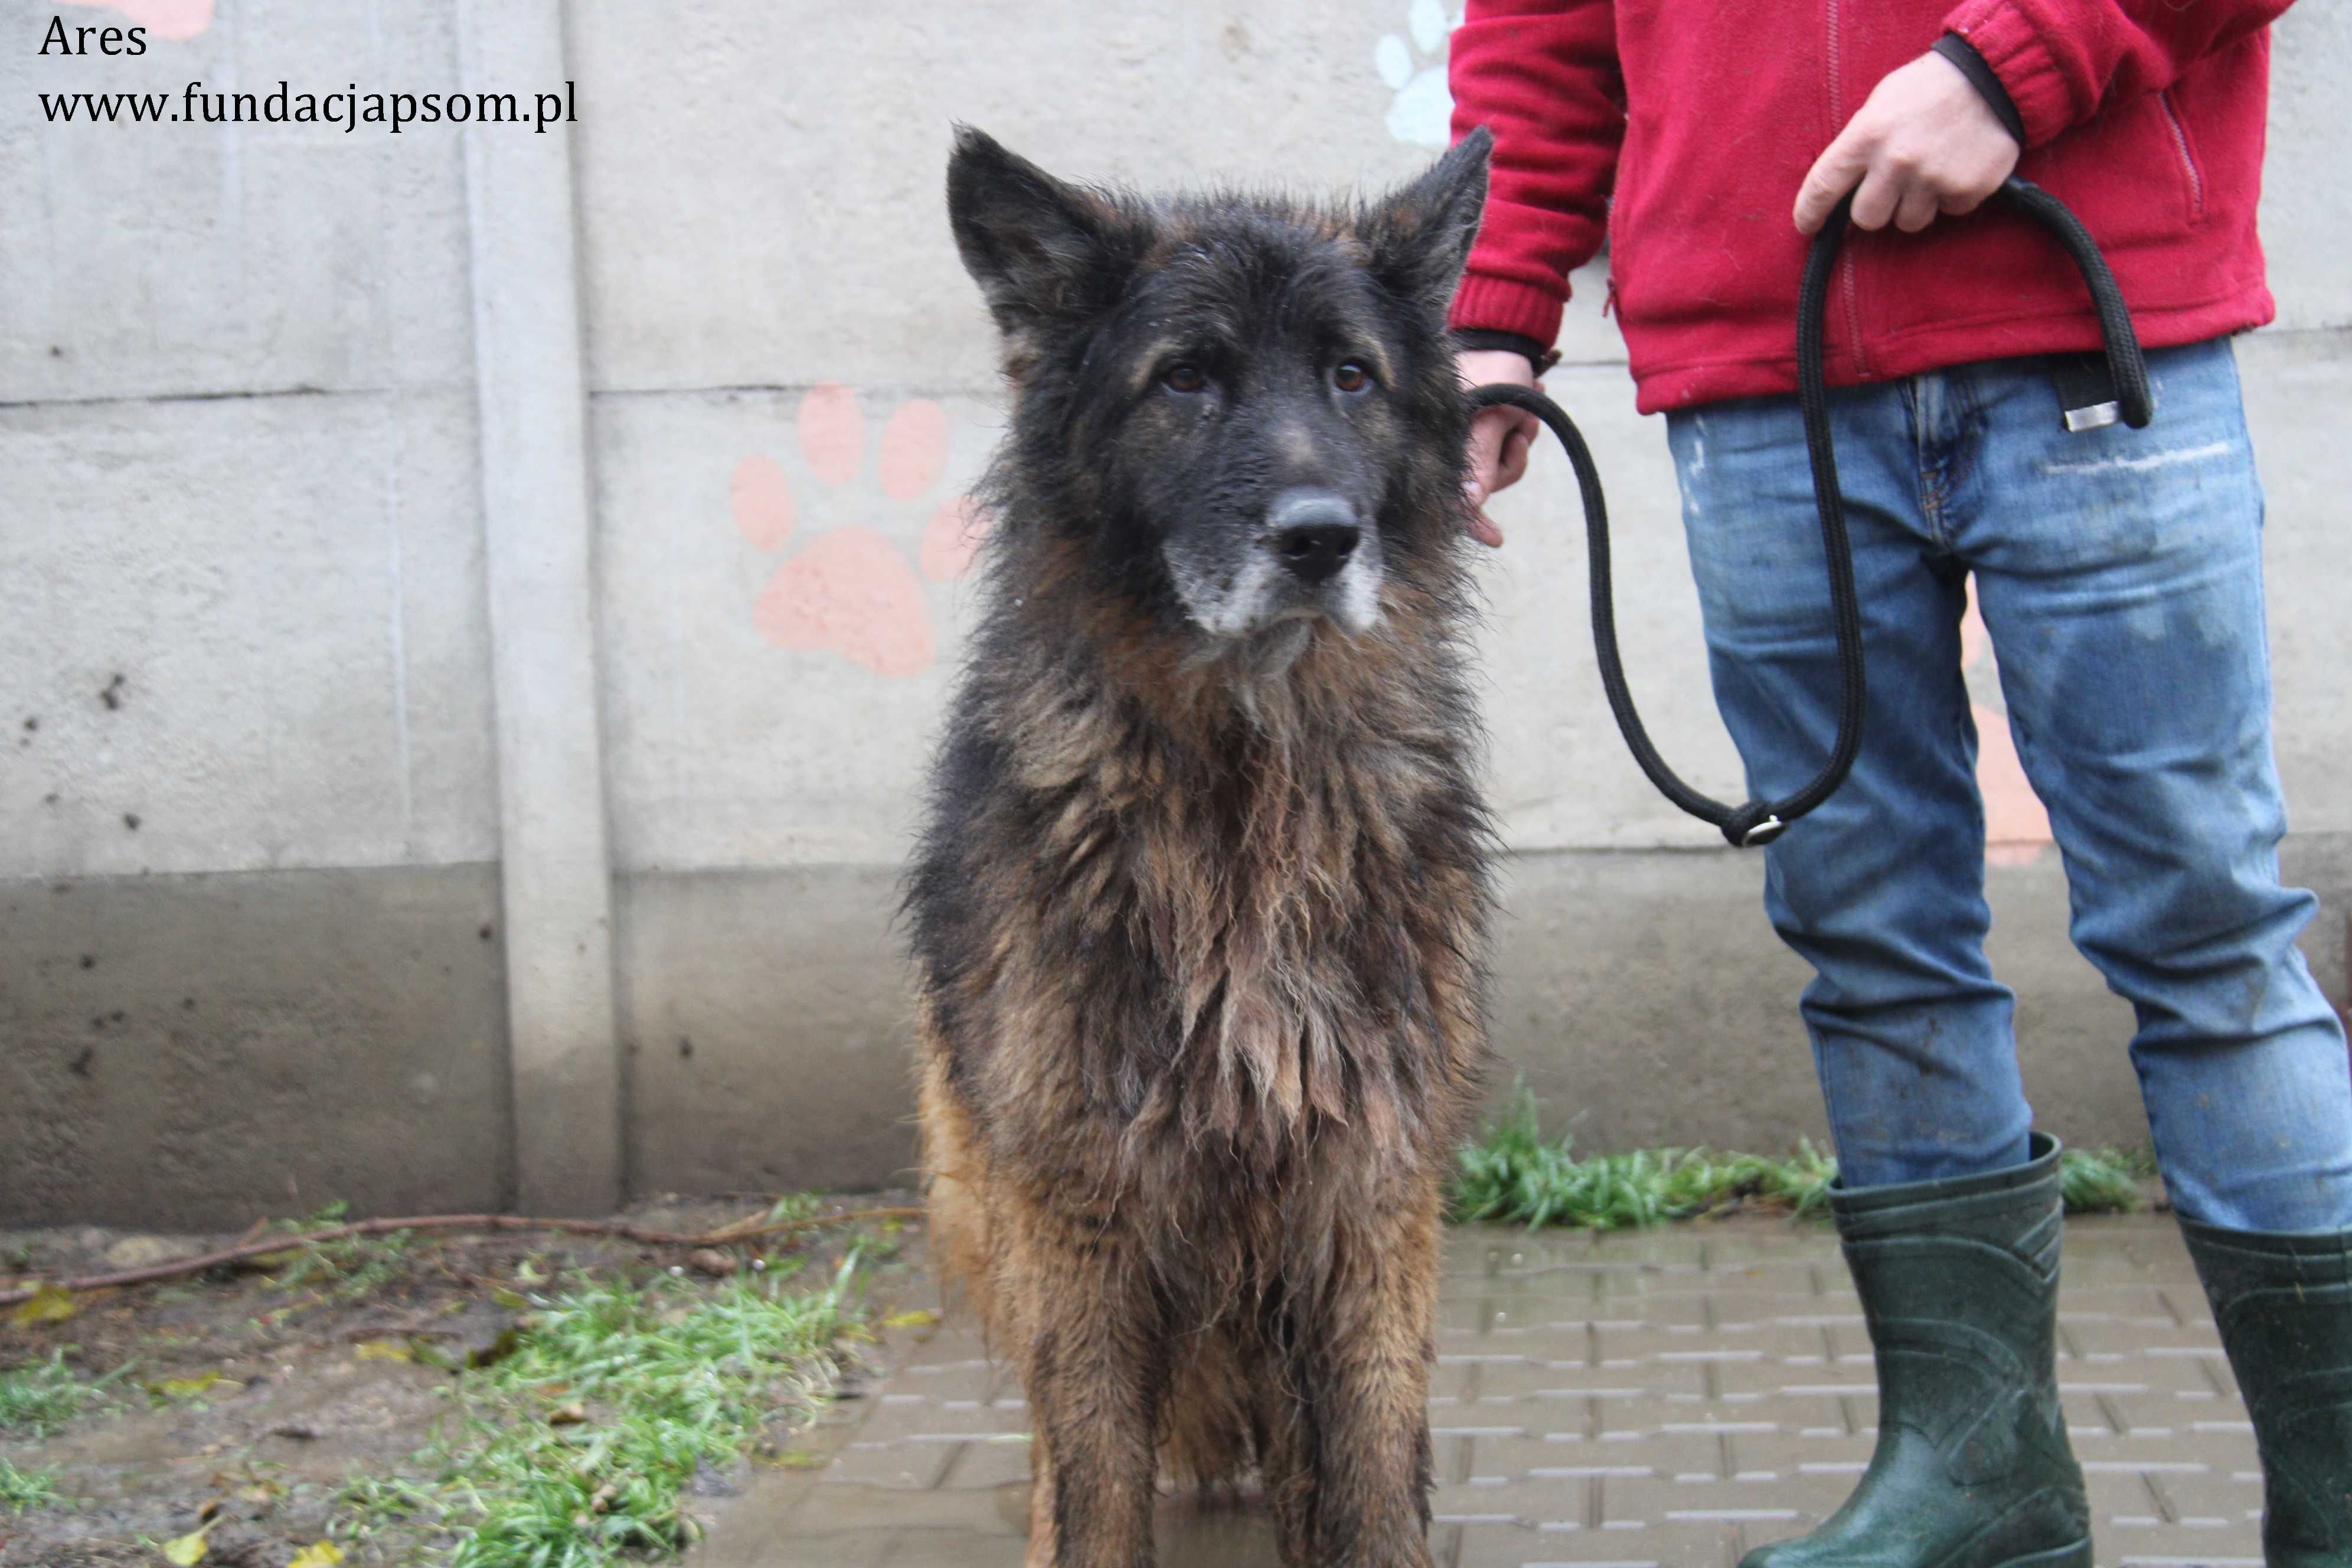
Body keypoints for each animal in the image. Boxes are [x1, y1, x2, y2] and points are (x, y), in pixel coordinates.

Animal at [907, 126, 1495, 1568]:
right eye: (1185, 378)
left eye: (1351, 374)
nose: (1320, 538)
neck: (1246, 784)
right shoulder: (1078, 1212)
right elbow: (1097, 1487)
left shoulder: (1364, 1197)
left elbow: (1372, 1479)